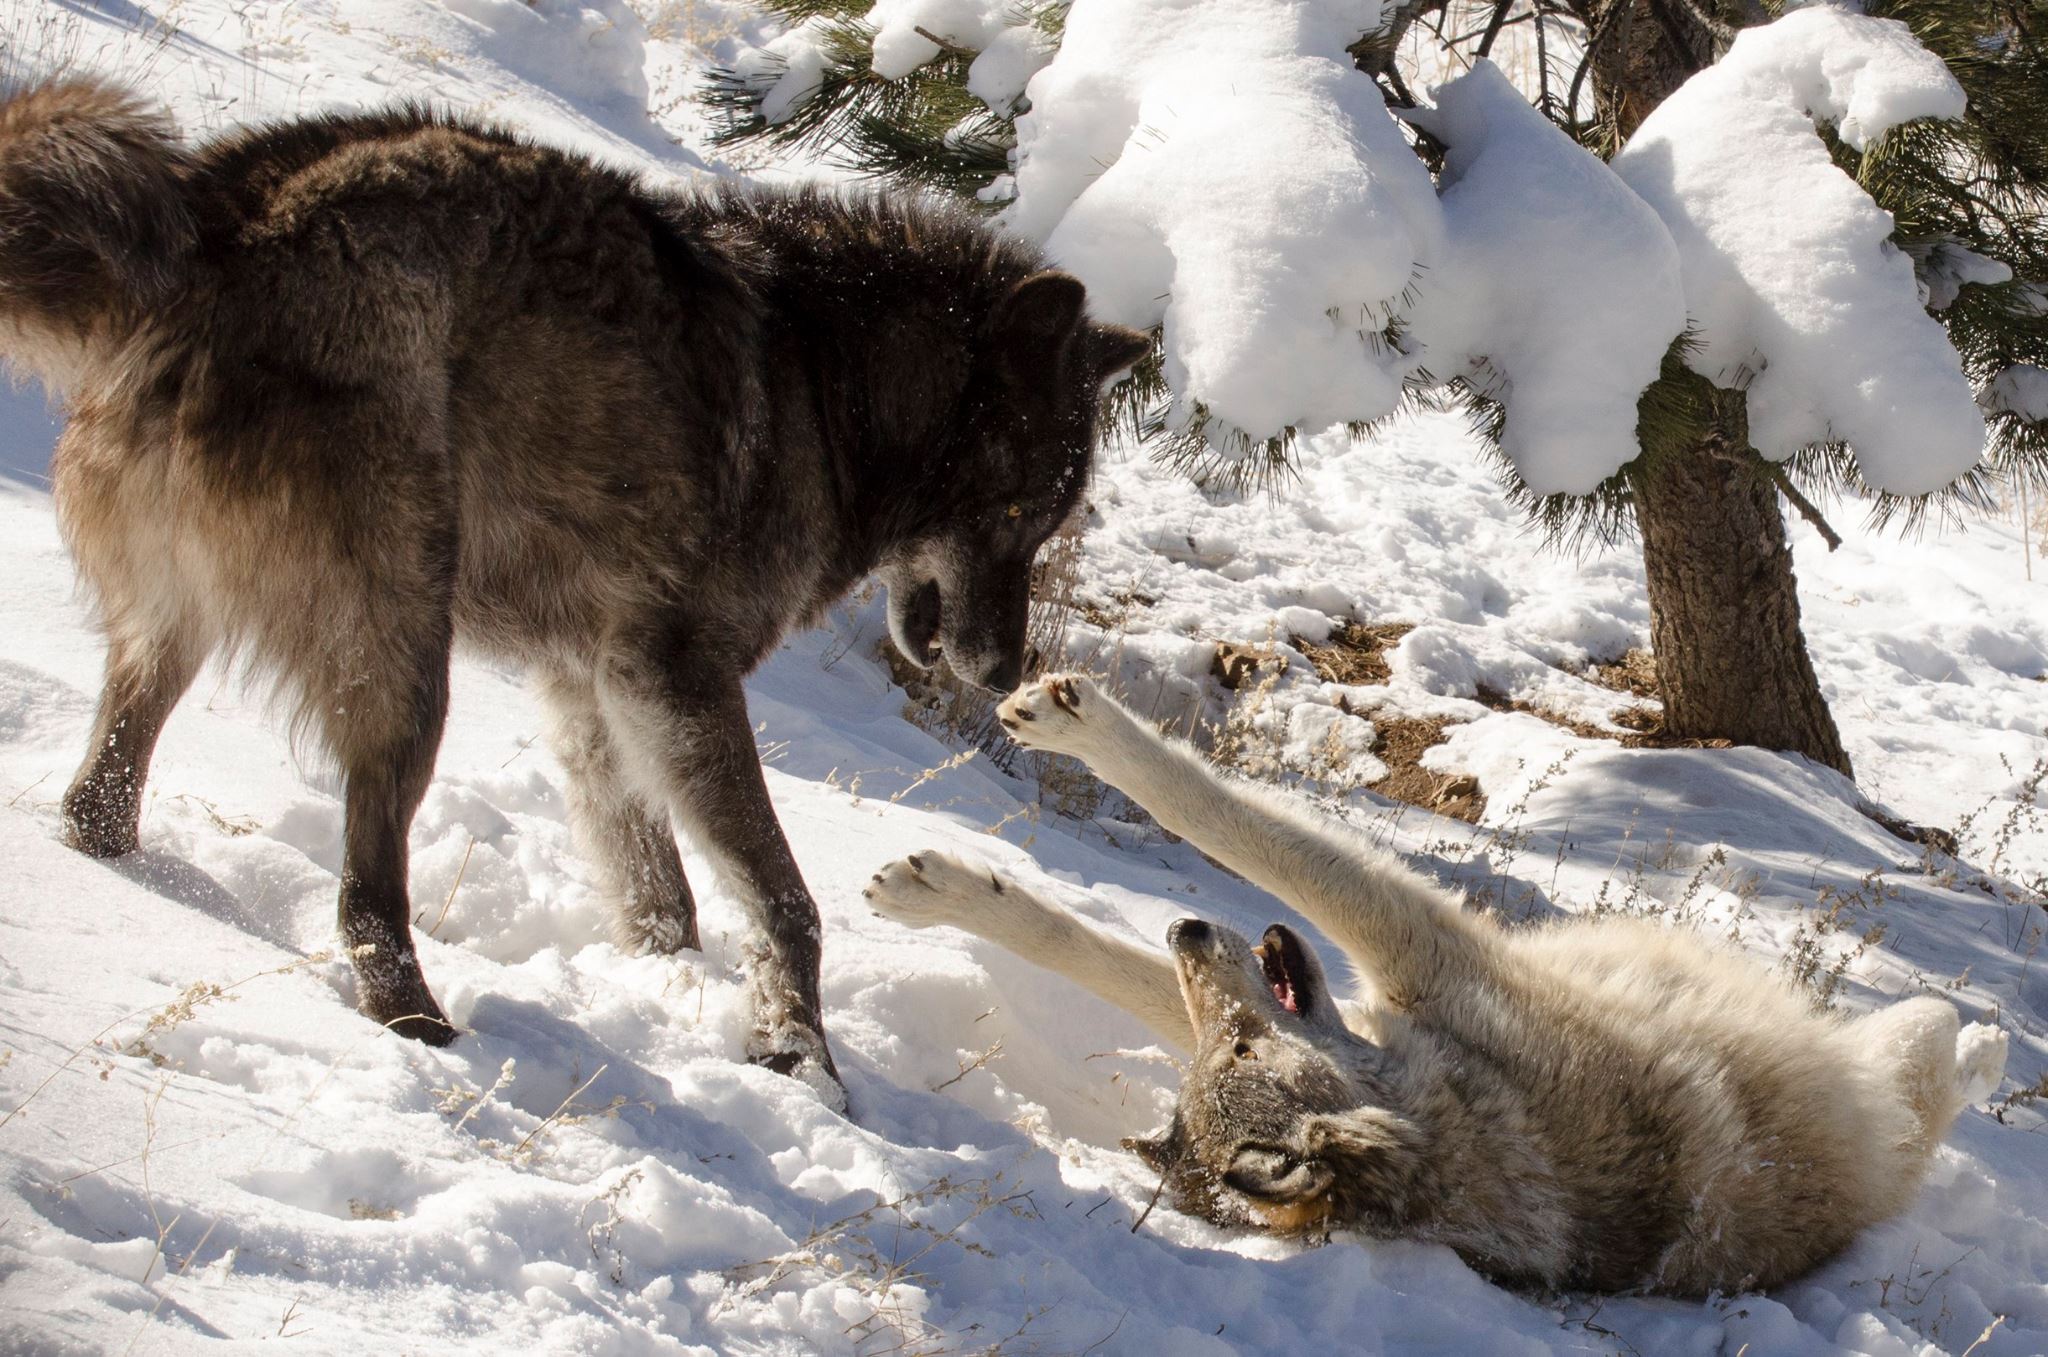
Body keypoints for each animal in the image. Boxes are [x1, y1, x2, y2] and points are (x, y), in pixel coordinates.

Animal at [0, 79, 1147, 1108]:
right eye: (1018, 513)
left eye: (1047, 524)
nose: (1002, 672)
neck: (826, 391)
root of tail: (222, 209)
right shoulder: (674, 679)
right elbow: (787, 899)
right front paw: (803, 1065)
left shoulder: (593, 691)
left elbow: (660, 891)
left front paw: (671, 987)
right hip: (407, 663)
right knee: (366, 895)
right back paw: (418, 1023)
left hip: (182, 631)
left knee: (97, 799)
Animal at [865, 675, 2008, 1292]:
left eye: (1239, 1047)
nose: (1184, 922)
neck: (1455, 1109)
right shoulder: (1411, 958)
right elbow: (1208, 832)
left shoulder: (1380, 976)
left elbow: (1180, 866)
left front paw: (942, 879)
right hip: (1881, 1061)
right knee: (1939, 1040)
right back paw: (1989, 1044)